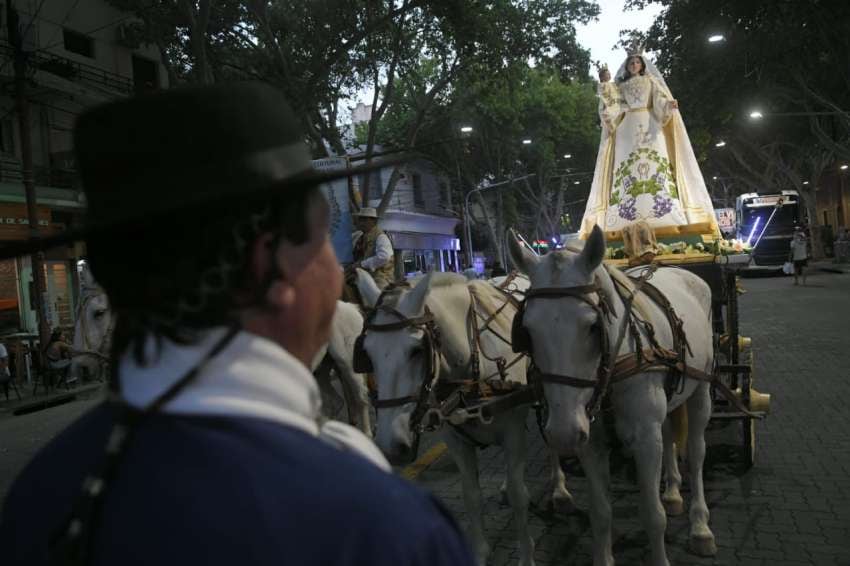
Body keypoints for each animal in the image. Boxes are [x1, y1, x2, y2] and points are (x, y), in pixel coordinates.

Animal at [354, 270, 572, 566]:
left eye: (417, 350)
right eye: (367, 353)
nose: (390, 446)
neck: (472, 366)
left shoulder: (513, 432)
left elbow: (519, 496)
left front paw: (526, 555)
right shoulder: (456, 441)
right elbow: (471, 496)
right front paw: (479, 551)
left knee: (550, 439)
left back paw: (559, 487)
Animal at [510, 229, 716, 566]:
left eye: (593, 326)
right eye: (526, 331)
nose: (562, 433)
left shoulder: (644, 439)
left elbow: (653, 516)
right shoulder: (589, 440)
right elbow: (601, 512)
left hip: (702, 389)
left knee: (697, 453)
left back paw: (700, 526)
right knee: (668, 433)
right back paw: (673, 492)